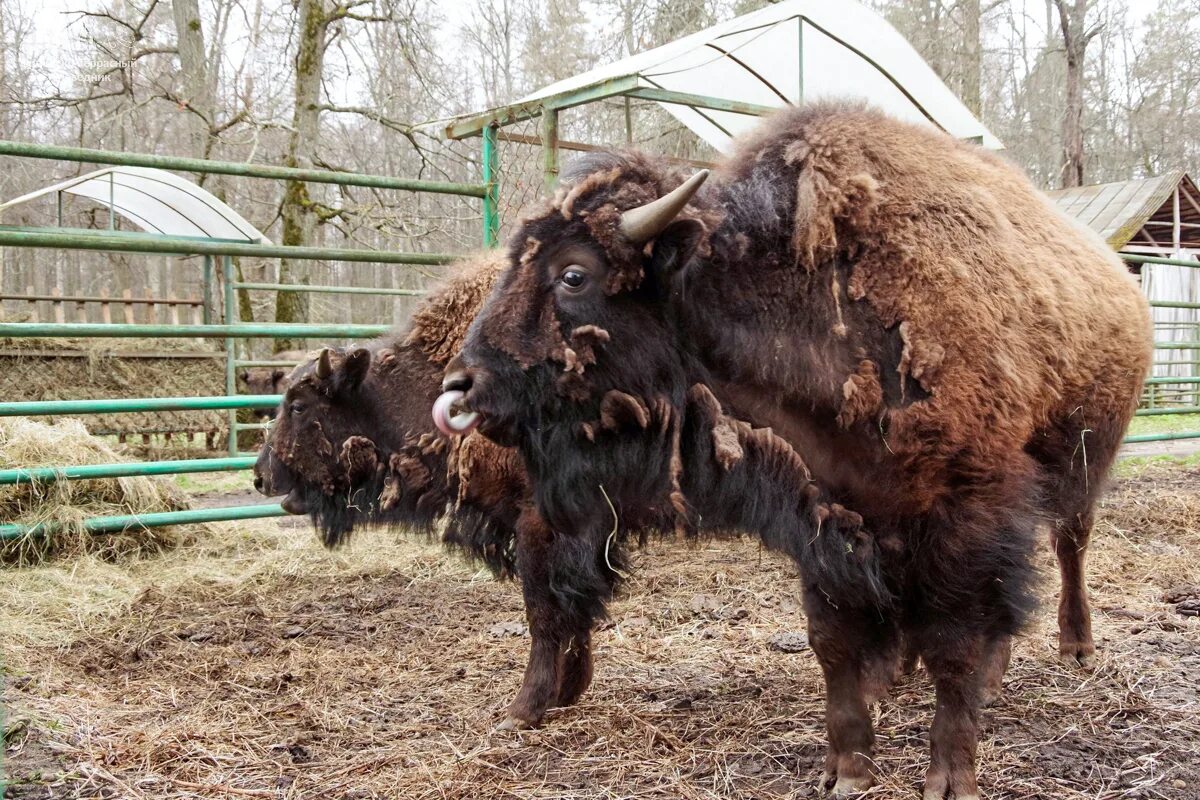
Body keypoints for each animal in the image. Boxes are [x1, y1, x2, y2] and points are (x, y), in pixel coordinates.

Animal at [439, 103, 1152, 796]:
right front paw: (848, 767)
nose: (460, 386)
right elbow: (832, 638)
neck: (818, 316)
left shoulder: (967, 509)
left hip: (1083, 461)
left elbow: (954, 641)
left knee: (1066, 546)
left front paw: (950, 777)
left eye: (573, 274)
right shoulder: (825, 513)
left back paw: (1073, 648)